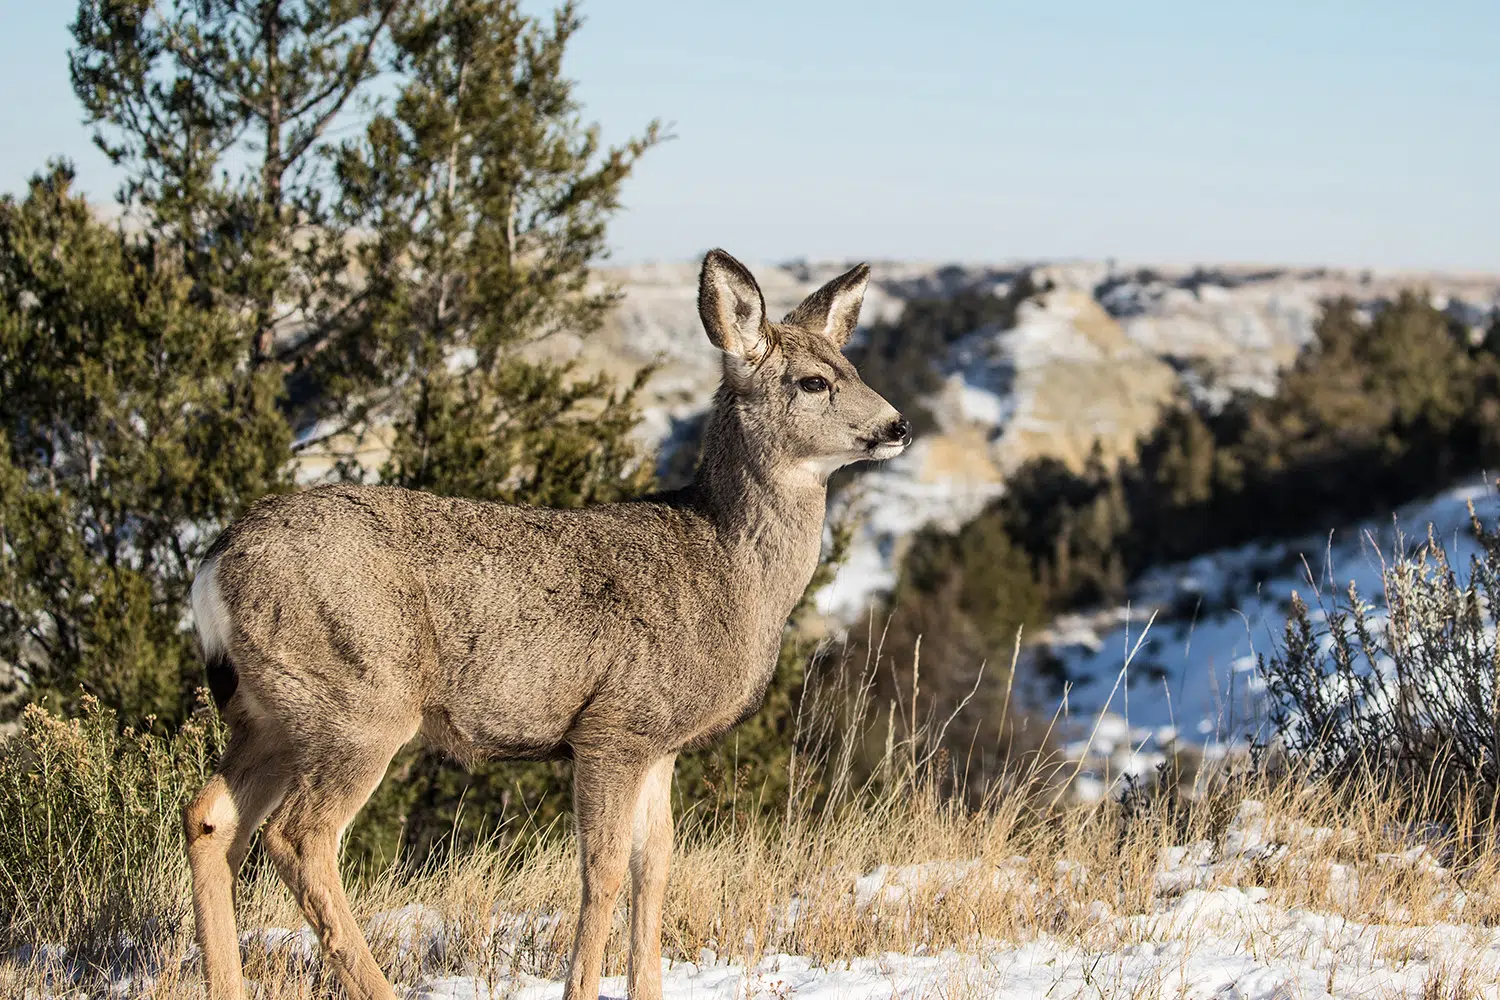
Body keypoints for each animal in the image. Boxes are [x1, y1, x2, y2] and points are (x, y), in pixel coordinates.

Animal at [182, 249, 912, 1000]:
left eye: (851, 365)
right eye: (814, 380)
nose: (898, 426)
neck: (725, 568)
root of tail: (215, 563)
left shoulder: (661, 744)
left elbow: (655, 867)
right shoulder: (614, 727)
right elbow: (604, 870)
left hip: (269, 710)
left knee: (212, 817)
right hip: (356, 702)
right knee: (299, 836)